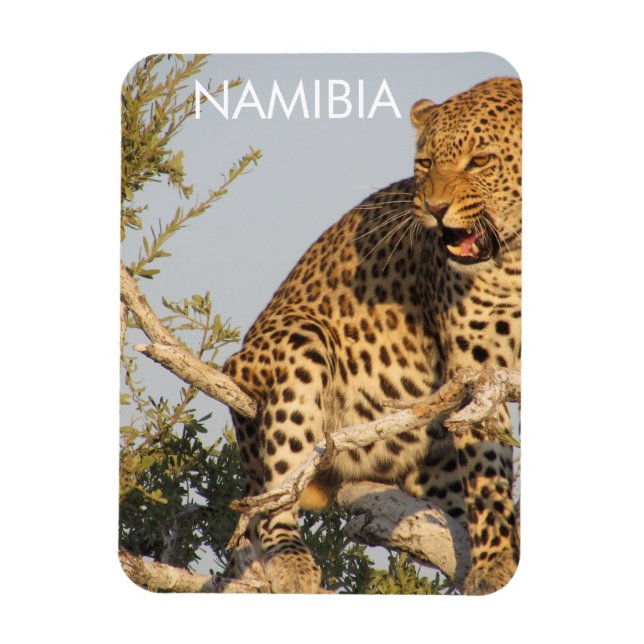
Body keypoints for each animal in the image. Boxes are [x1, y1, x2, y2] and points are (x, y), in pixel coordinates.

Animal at [223, 77, 522, 595]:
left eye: (481, 160)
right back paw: (292, 559)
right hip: (295, 345)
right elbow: (487, 473)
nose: (435, 209)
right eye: (425, 165)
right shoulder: (479, 370)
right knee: (274, 493)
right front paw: (495, 565)